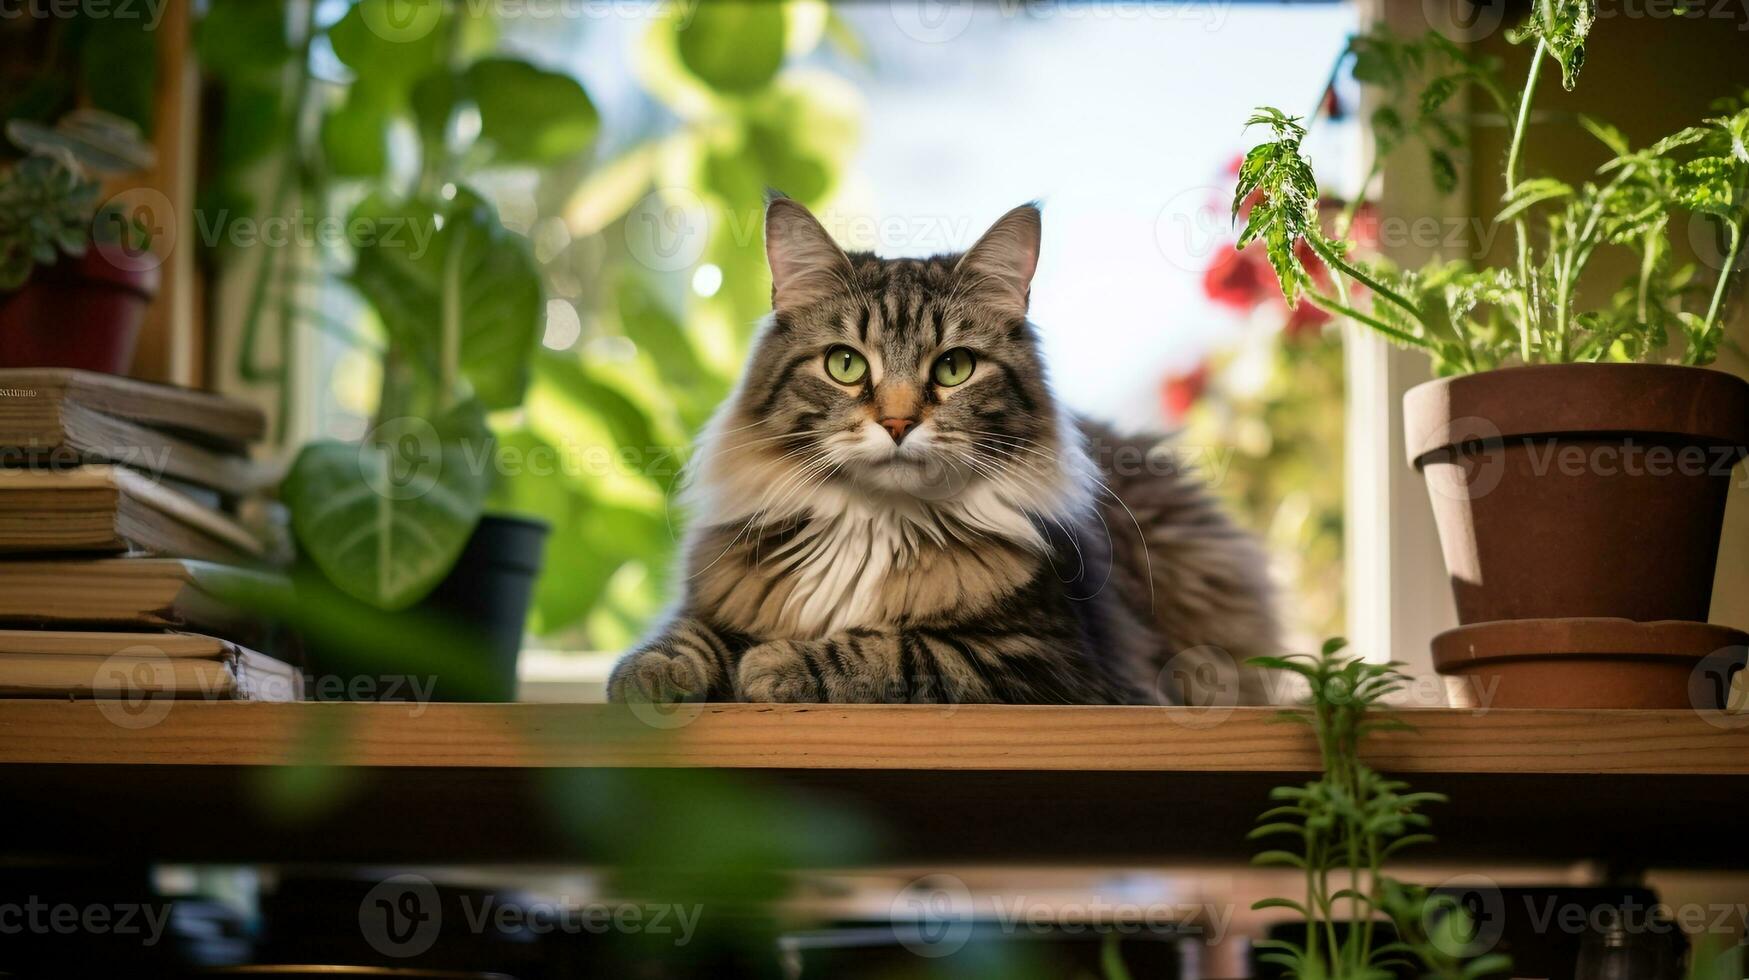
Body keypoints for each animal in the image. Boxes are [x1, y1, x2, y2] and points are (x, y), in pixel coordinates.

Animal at [608, 199, 1280, 703]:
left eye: (954, 368)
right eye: (845, 364)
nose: (898, 422)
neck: (872, 525)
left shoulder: (1042, 660)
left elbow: (896, 650)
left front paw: (776, 665)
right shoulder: (719, 596)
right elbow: (690, 637)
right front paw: (649, 675)